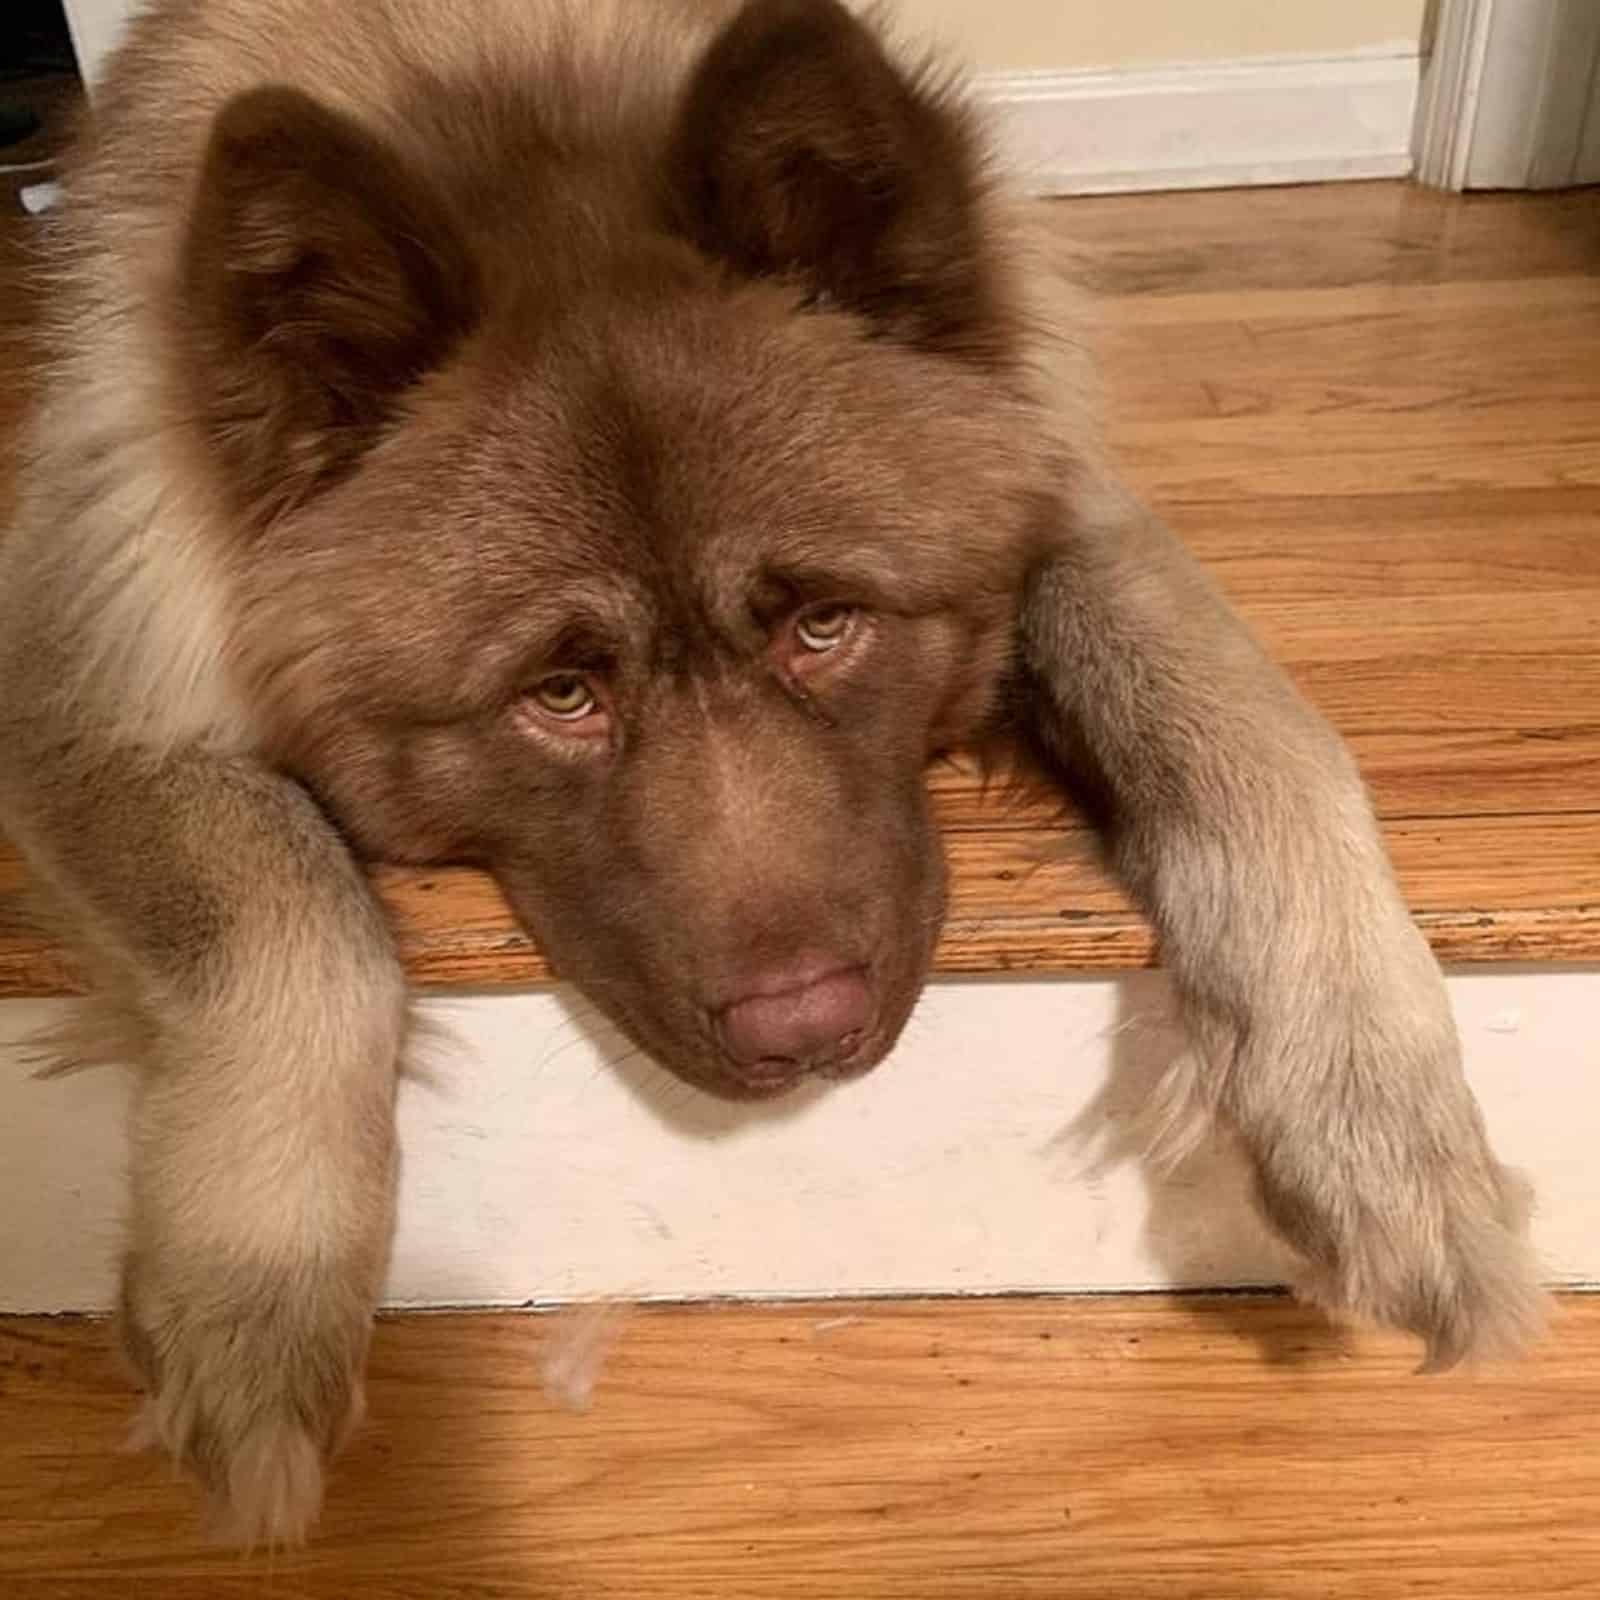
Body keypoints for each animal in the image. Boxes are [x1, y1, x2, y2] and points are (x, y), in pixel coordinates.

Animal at [3, 0, 1548, 1548]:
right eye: (559, 694)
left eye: (825, 623)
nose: (804, 1031)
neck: (508, 94)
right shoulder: (80, 677)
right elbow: (288, 915)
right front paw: (253, 1301)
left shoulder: (1068, 506)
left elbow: (1256, 732)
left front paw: (1384, 1134)